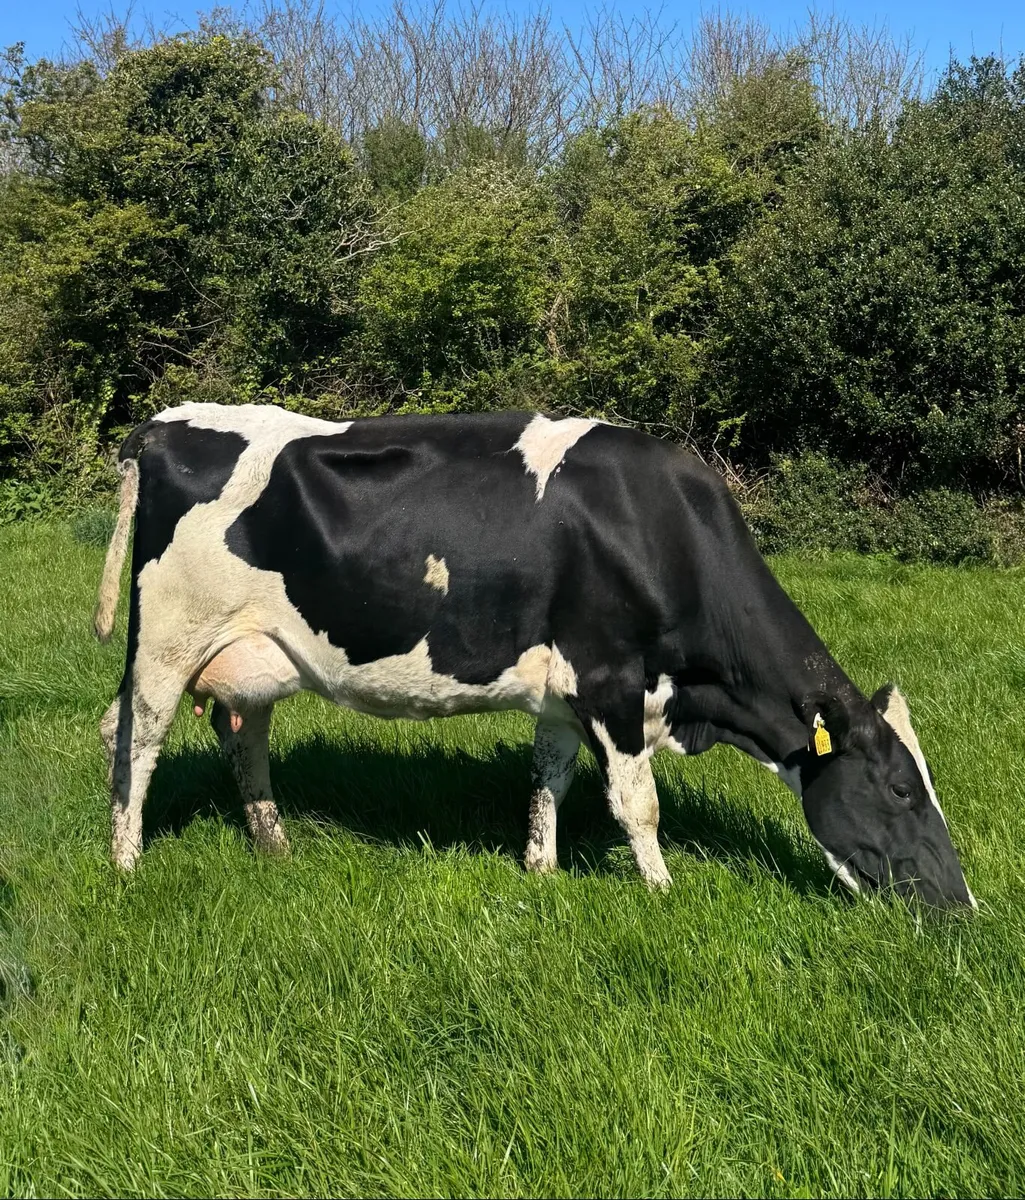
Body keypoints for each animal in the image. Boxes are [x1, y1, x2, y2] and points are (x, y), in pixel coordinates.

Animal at [93, 403, 974, 908]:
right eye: (901, 789)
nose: (961, 907)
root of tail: (162, 422)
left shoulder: (563, 688)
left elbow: (550, 777)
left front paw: (541, 868)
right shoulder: (613, 681)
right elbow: (637, 802)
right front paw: (662, 891)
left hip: (249, 654)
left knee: (237, 735)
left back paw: (273, 847)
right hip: (166, 642)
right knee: (135, 738)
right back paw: (126, 863)